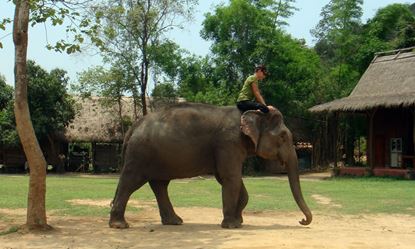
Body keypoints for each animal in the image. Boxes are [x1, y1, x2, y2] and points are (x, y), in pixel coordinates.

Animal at [110, 102, 312, 229]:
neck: (252, 113)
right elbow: (230, 177)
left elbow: (228, 178)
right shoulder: (227, 142)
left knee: (159, 185)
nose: (301, 220)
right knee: (131, 182)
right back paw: (120, 225)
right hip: (140, 154)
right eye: (283, 137)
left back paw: (175, 222)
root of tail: (134, 126)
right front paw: (232, 225)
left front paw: (239, 220)